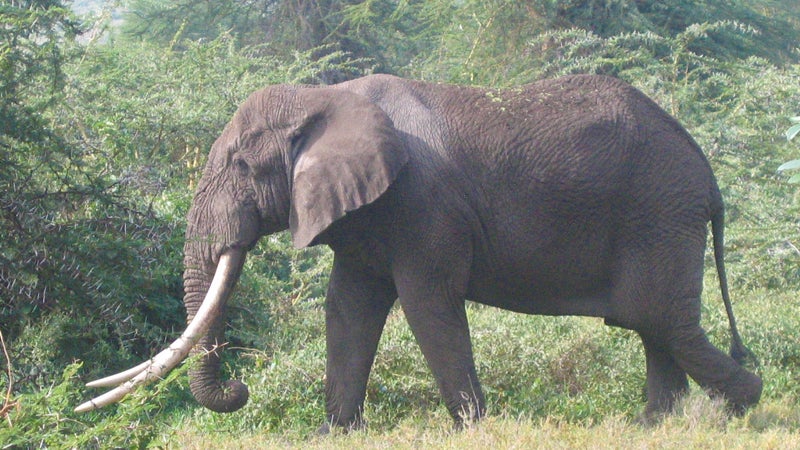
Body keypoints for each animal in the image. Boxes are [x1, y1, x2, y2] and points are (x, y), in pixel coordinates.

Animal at [76, 74, 764, 428]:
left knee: (662, 321)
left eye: (242, 165)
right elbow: (348, 309)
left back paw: (744, 403)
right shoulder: (367, 214)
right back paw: (660, 427)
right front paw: (335, 432)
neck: (325, 95)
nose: (240, 387)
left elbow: (427, 304)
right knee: (654, 327)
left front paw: (475, 429)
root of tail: (709, 177)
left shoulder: (423, 203)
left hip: (660, 216)